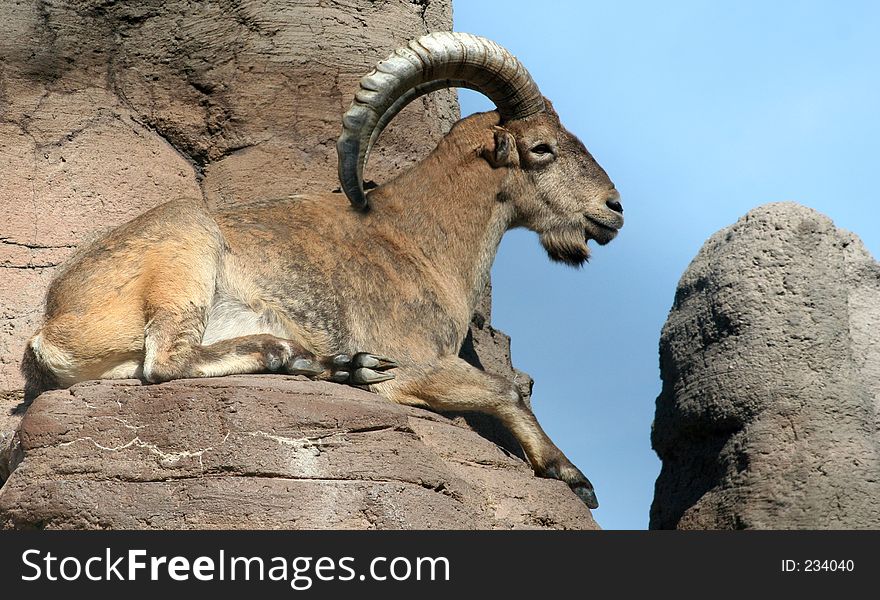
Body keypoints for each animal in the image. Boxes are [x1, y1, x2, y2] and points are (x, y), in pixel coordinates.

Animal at [22, 29, 624, 506]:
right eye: (542, 148)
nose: (613, 209)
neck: (418, 239)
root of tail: (53, 325)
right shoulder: (416, 363)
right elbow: (506, 389)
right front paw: (572, 476)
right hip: (187, 250)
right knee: (167, 362)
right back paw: (317, 358)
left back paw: (336, 365)